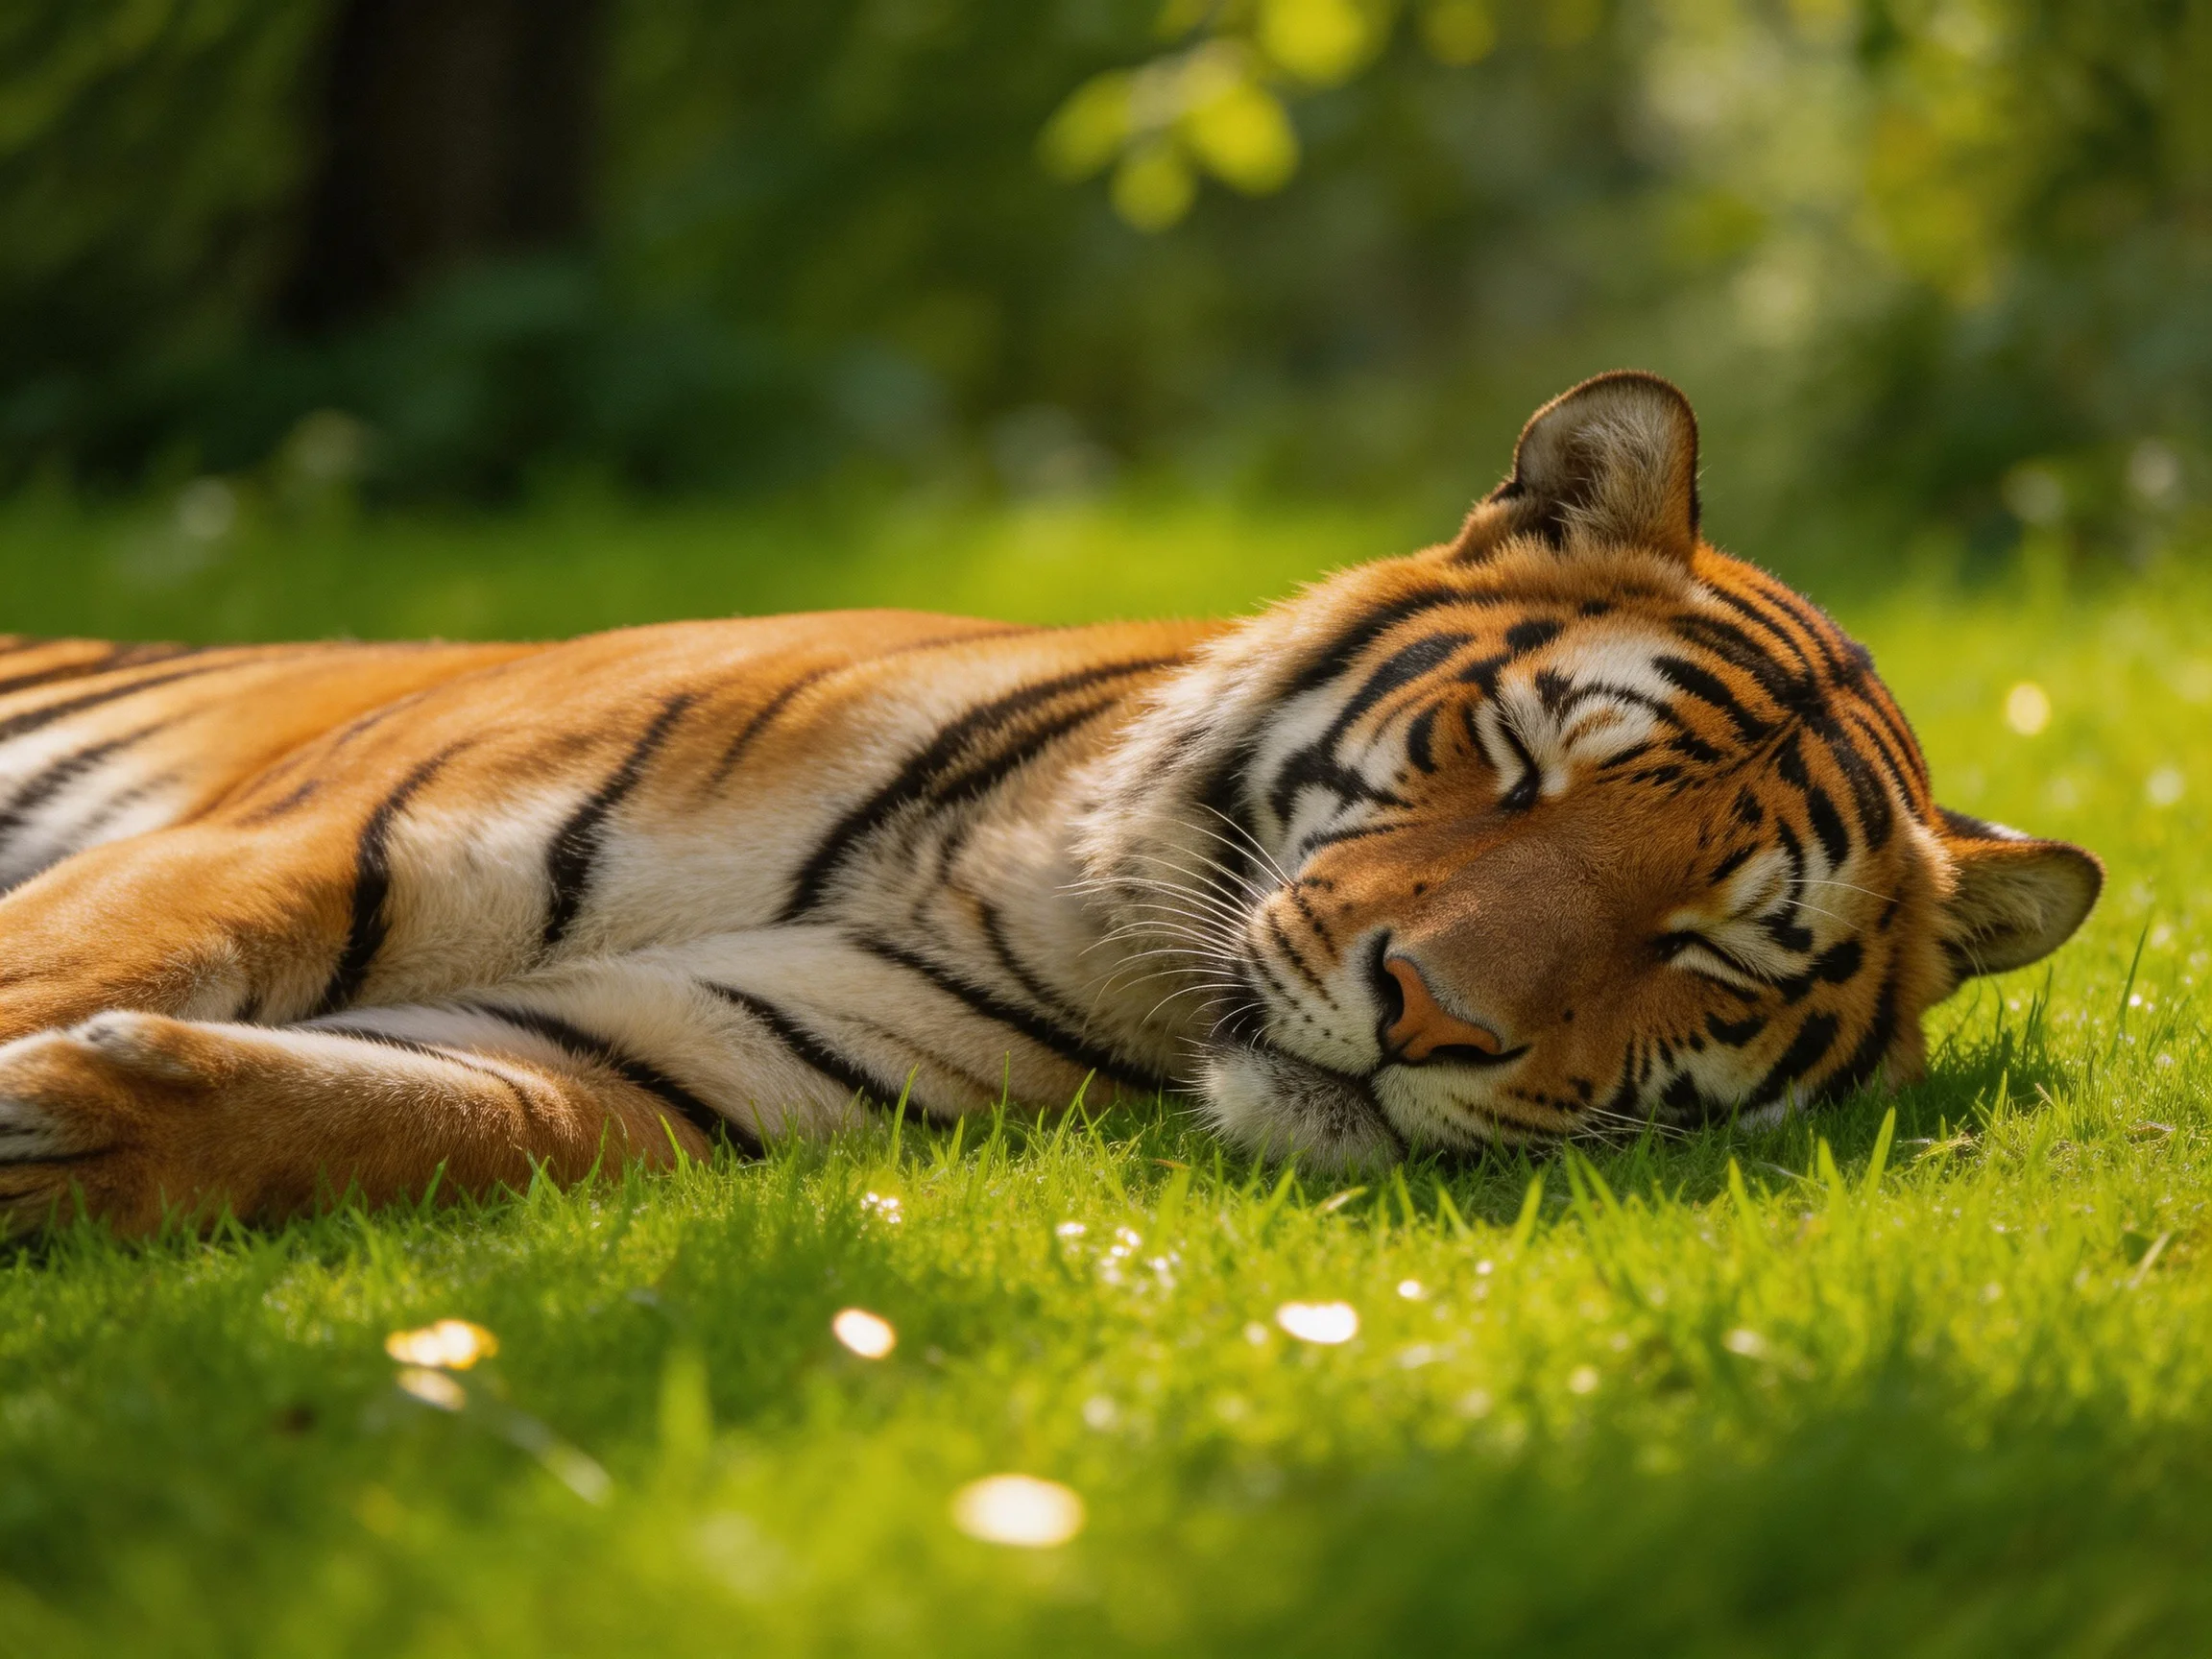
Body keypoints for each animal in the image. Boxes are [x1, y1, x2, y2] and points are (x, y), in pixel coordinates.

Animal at [0, 372, 2100, 1233]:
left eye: (1710, 958)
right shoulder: (305, 839)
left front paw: (82, 1146)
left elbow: (445, 1113)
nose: (1430, 1017)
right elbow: (99, 956)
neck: (1069, 905)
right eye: (1518, 768)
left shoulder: (687, 1055)